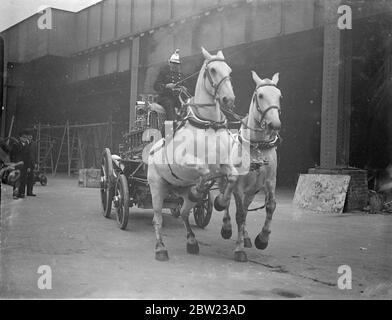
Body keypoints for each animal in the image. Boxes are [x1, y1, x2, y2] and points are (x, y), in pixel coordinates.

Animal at [148, 48, 237, 262]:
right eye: (212, 70)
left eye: (229, 70)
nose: (228, 99)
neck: (208, 124)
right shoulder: (186, 161)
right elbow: (203, 170)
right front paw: (199, 190)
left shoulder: (224, 162)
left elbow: (232, 176)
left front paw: (220, 202)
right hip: (156, 187)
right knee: (157, 219)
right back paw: (160, 248)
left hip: (179, 190)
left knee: (183, 213)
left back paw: (191, 241)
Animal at [219, 70, 280, 262]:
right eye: (260, 95)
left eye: (279, 96)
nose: (275, 124)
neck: (257, 146)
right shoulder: (238, 184)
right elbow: (239, 214)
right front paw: (239, 250)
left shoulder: (269, 181)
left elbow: (270, 206)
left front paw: (263, 239)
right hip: (225, 180)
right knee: (225, 199)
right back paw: (226, 227)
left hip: (252, 190)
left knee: (245, 207)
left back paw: (245, 236)